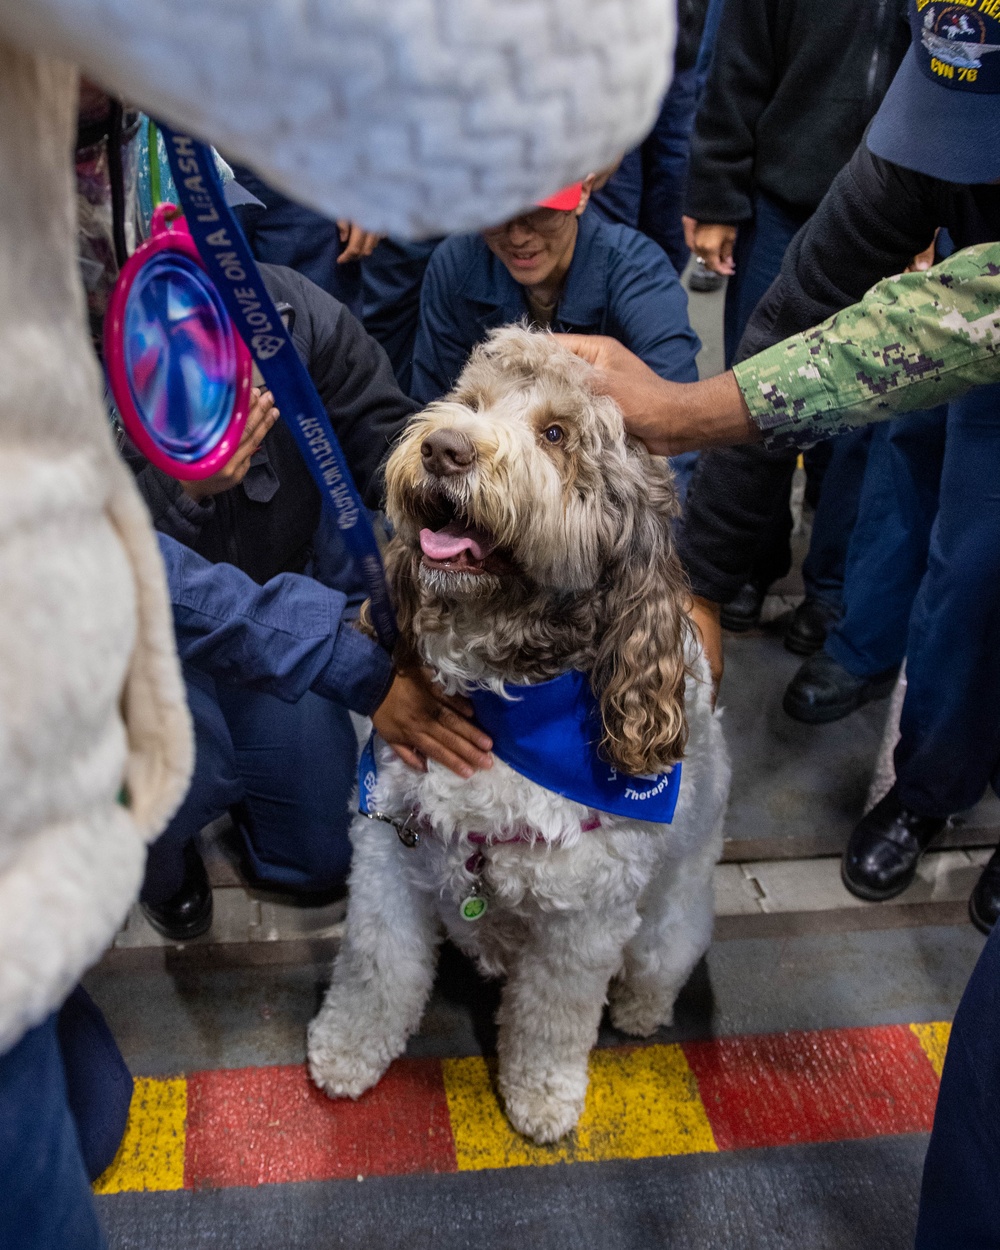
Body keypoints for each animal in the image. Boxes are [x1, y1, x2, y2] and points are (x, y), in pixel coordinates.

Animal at [308, 325, 730, 1145]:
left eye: (556, 434)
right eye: (471, 402)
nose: (443, 449)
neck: (502, 698)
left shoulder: (585, 921)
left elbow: (551, 1017)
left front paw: (541, 1096)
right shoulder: (385, 854)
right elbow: (378, 967)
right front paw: (347, 1051)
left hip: (672, 910)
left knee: (661, 959)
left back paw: (641, 1010)